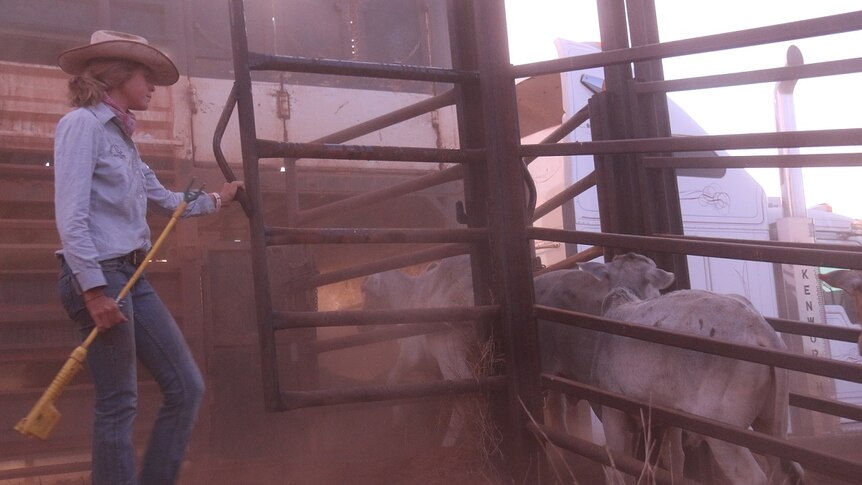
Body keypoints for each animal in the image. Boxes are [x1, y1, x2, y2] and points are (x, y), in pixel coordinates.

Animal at [580, 253, 804, 484]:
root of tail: (761, 330)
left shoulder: (613, 410)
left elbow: (616, 464)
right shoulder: (669, 417)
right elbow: (675, 458)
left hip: (723, 425)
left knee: (752, 477)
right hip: (773, 419)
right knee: (790, 469)